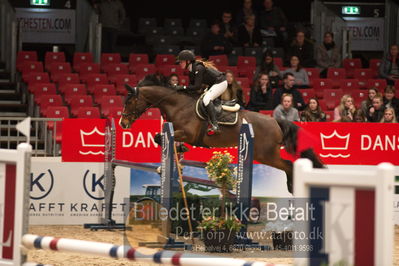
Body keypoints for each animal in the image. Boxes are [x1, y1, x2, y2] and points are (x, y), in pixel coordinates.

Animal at [119, 74, 324, 192]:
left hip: (266, 155)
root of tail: (275, 121)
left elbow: (161, 138)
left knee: (289, 165)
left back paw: (293, 188)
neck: (178, 105)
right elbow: (162, 139)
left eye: (130, 102)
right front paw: (172, 161)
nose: (123, 123)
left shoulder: (187, 133)